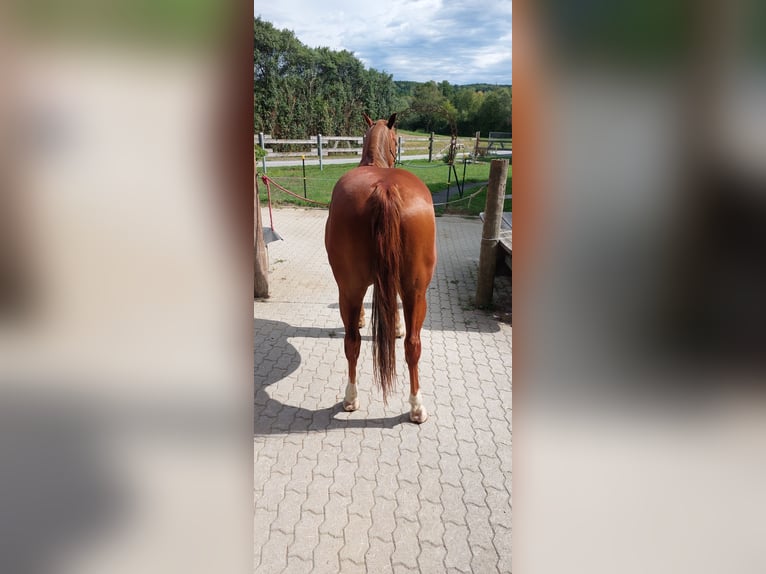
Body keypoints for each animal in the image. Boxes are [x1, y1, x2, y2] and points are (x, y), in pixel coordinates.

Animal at [324, 113, 437, 423]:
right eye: (397, 139)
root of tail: (385, 188)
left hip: (356, 290)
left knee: (357, 341)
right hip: (414, 291)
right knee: (407, 344)